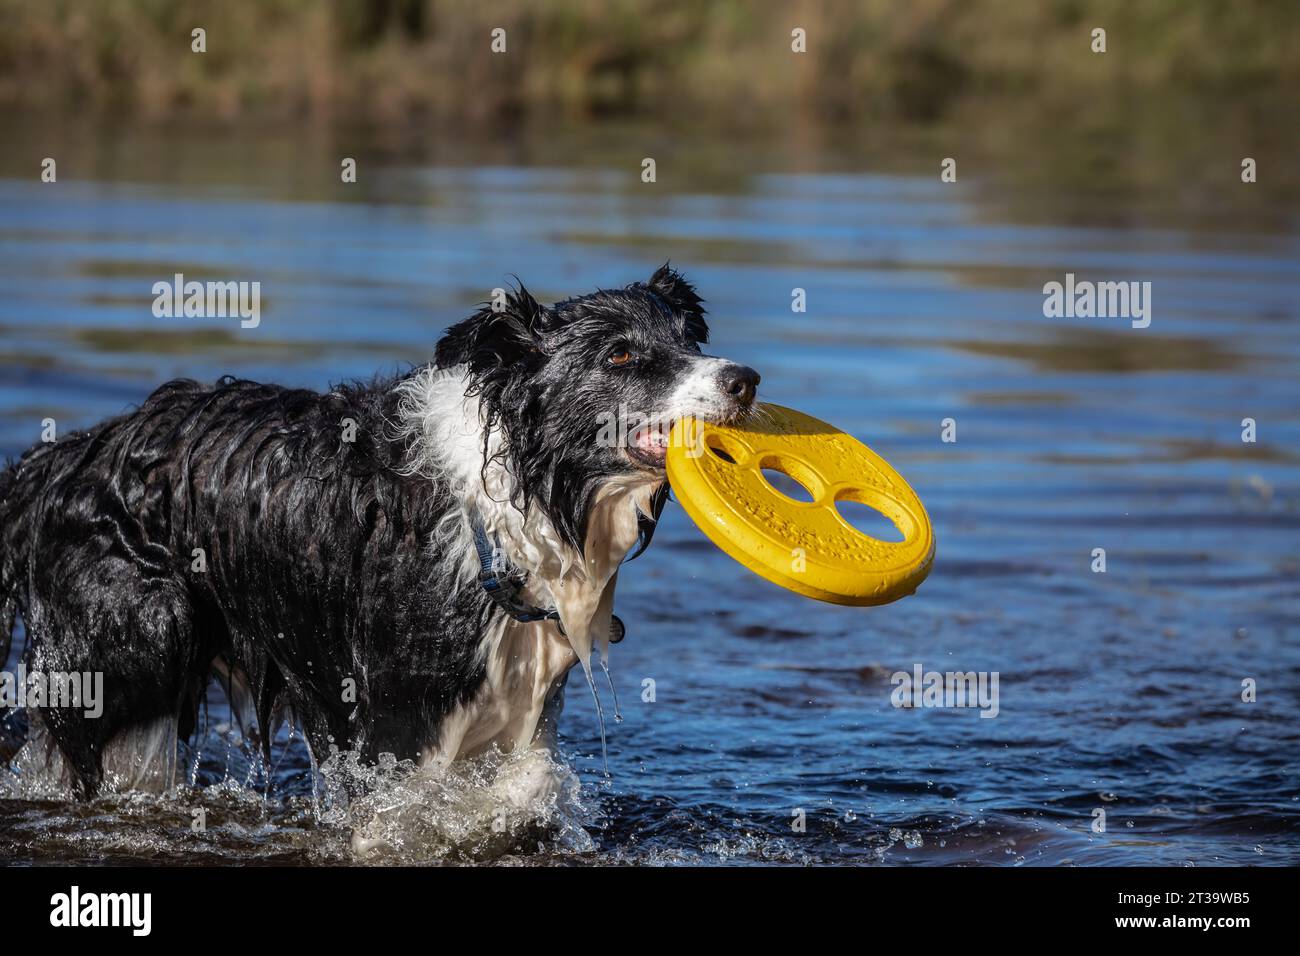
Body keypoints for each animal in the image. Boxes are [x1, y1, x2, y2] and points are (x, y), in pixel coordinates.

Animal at [0, 265, 759, 806]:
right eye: (622, 356)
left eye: (689, 341)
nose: (744, 378)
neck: (510, 505)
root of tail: (59, 460)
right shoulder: (390, 719)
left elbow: (527, 781)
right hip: (141, 635)